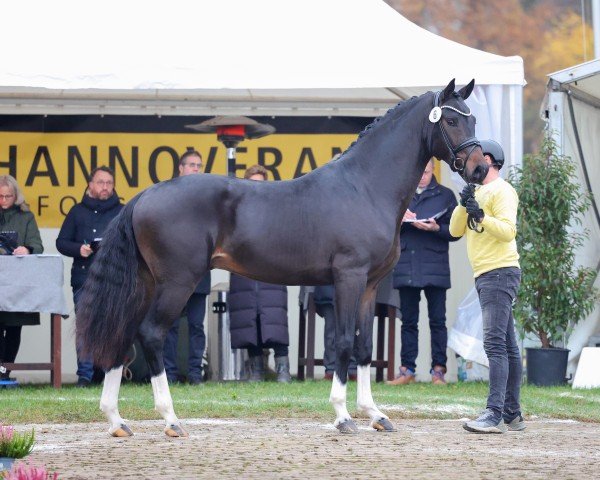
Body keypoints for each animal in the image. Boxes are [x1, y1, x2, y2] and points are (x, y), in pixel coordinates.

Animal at [76, 78, 488, 436]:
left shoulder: (370, 285)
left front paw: (375, 414)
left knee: (124, 334)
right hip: (178, 282)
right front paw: (343, 417)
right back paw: (170, 419)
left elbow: (364, 347)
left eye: (473, 118)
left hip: (148, 283)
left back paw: (117, 421)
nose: (480, 168)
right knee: (150, 334)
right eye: (451, 119)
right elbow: (342, 342)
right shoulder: (349, 278)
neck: (365, 188)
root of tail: (142, 197)